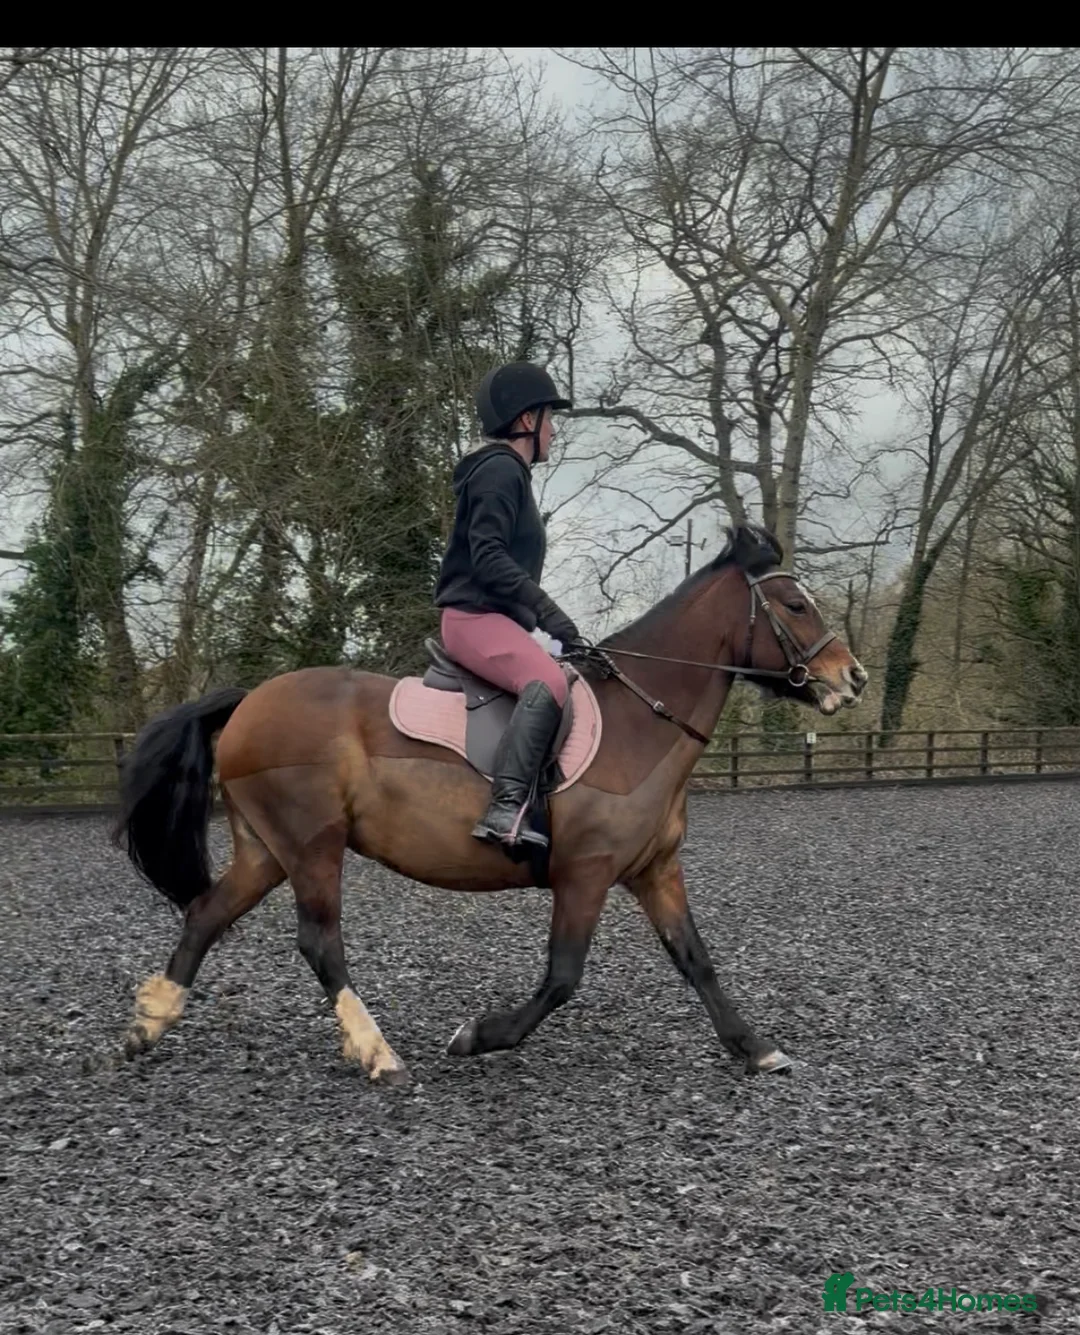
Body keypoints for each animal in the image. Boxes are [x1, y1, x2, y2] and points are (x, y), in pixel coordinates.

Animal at [113, 524, 867, 1085]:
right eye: (795, 605)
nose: (852, 677)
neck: (640, 719)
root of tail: (250, 702)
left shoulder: (655, 871)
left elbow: (696, 959)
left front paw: (756, 1046)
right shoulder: (585, 873)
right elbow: (562, 977)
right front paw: (477, 1036)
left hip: (268, 850)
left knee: (207, 913)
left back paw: (149, 1023)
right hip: (312, 845)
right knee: (319, 942)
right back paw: (378, 1053)